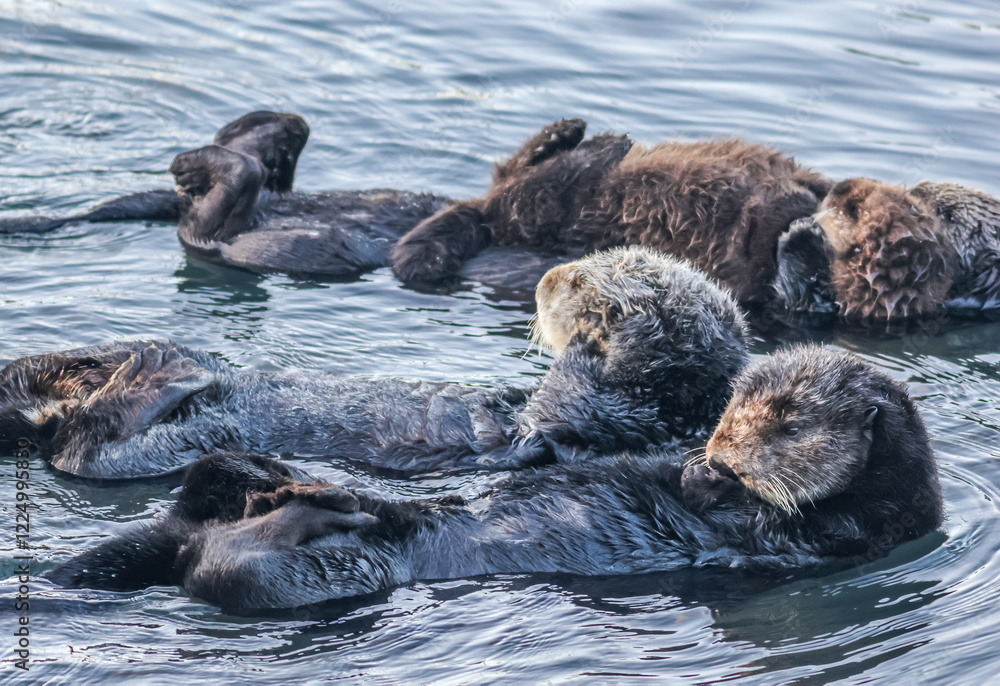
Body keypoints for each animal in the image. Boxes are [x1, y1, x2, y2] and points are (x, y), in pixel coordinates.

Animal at [0, 247, 748, 479]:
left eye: (579, 285)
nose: (546, 278)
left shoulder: (593, 420)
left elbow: (547, 416)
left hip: (169, 446)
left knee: (86, 445)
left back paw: (166, 369)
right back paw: (147, 355)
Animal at [49, 347, 944, 610]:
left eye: (786, 424)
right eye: (728, 410)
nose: (721, 450)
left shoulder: (845, 537)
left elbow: (773, 527)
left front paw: (711, 485)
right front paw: (693, 469)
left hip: (317, 575)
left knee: (233, 571)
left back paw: (320, 509)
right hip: (205, 500)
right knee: (190, 480)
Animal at [392, 135, 831, 304]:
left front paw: (804, 232)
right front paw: (817, 199)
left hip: (543, 215)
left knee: (519, 195)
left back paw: (592, 146)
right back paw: (580, 137)